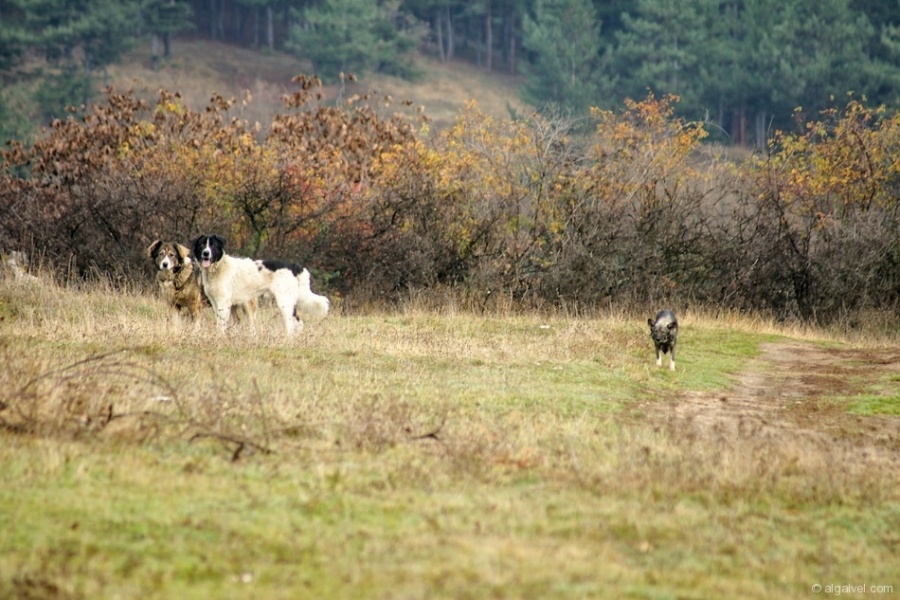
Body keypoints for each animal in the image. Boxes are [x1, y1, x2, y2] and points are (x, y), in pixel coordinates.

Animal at [192, 234, 328, 336]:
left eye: (213, 245)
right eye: (202, 245)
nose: (206, 253)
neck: (218, 267)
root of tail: (294, 267)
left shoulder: (223, 303)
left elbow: (221, 325)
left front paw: (220, 337)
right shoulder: (215, 302)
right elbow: (220, 322)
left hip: (284, 302)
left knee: (290, 324)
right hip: (289, 303)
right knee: (299, 323)